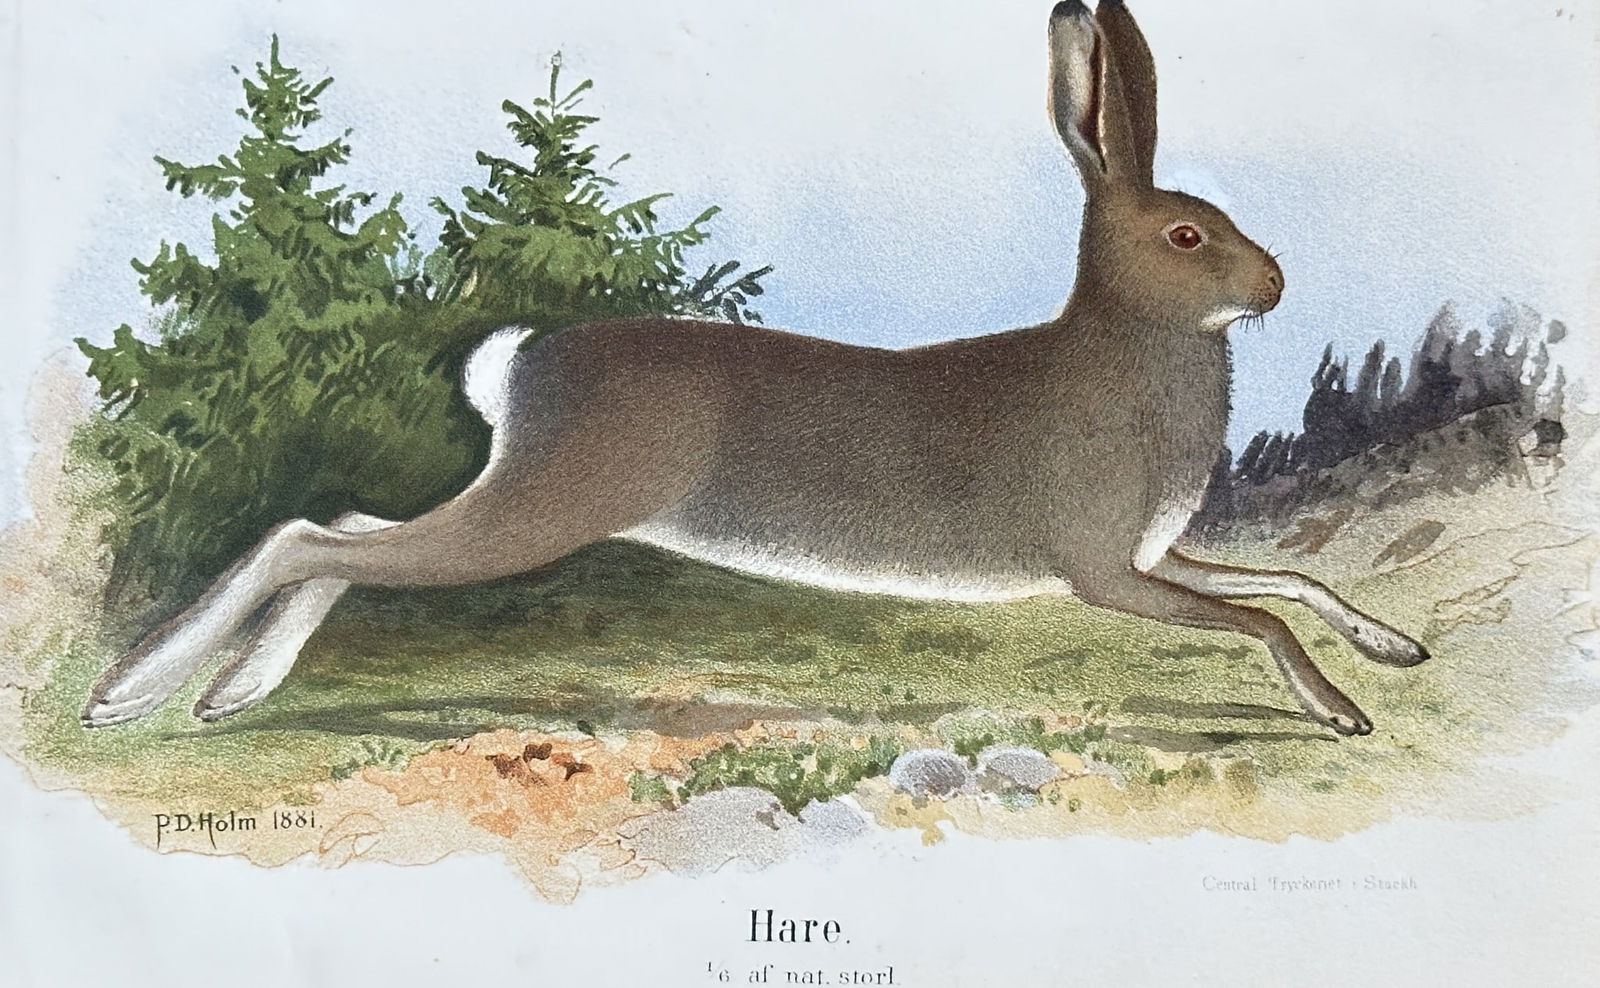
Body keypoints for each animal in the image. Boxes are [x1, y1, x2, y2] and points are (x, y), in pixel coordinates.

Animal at [83, 0, 1429, 735]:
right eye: (1187, 235)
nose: (1276, 286)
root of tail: (520, 364)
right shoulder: (1103, 570)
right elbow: (1258, 612)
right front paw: (1342, 710)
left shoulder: (1155, 555)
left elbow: (1290, 580)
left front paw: (1394, 652)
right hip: (547, 504)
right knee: (306, 536)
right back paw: (131, 695)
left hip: (514, 498)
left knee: (338, 532)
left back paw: (225, 695)